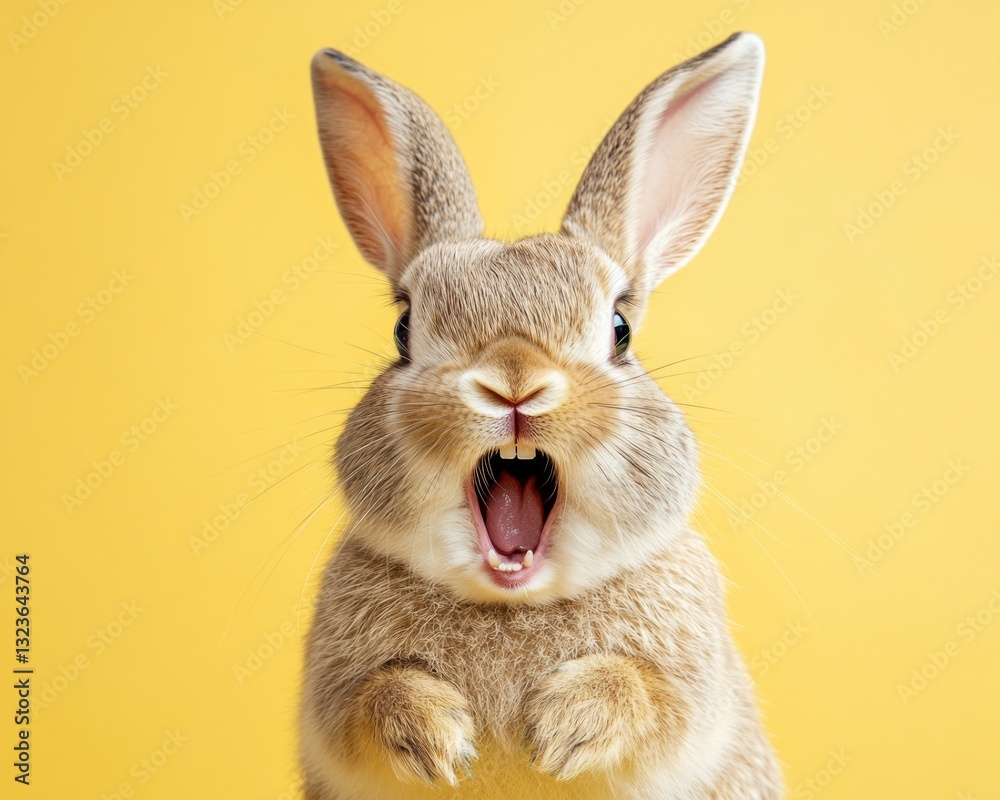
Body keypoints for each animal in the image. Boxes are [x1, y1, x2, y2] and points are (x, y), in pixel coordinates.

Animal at [299, 31, 783, 800]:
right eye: (404, 331)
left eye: (620, 330)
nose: (515, 384)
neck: (512, 601)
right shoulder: (333, 692)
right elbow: (368, 700)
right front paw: (438, 740)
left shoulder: (691, 689)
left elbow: (651, 697)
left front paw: (564, 727)